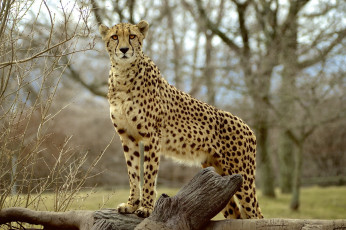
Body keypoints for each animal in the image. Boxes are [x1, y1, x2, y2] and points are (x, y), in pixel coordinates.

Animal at [99, 20, 262, 219]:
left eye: (132, 36)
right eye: (115, 37)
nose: (123, 49)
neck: (123, 75)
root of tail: (247, 126)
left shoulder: (152, 136)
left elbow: (149, 174)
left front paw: (146, 207)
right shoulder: (127, 136)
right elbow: (133, 173)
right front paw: (131, 204)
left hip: (242, 178)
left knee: (256, 215)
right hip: (220, 176)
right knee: (236, 215)